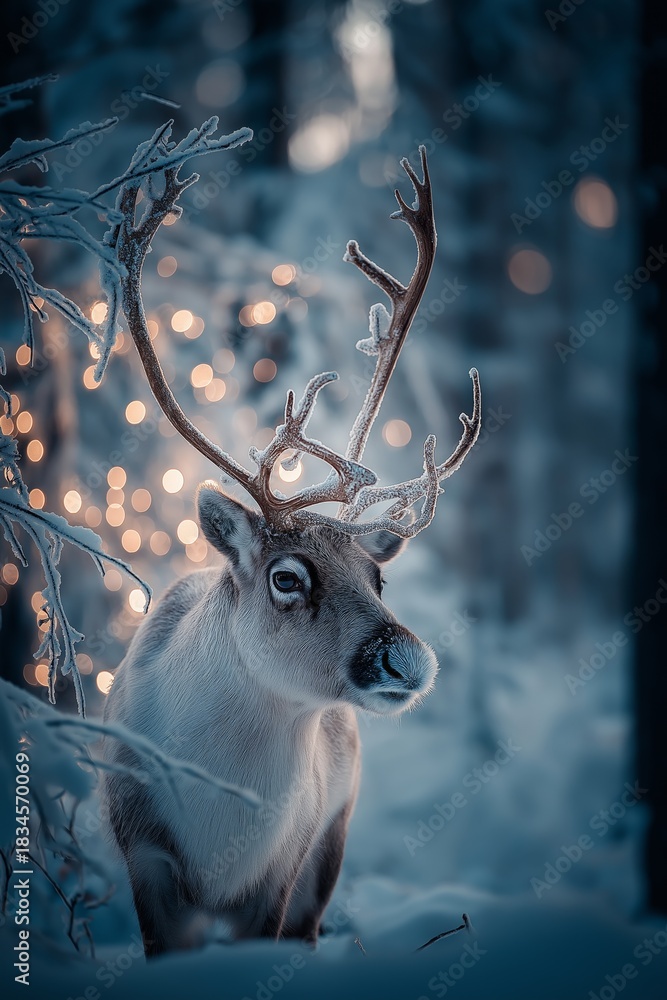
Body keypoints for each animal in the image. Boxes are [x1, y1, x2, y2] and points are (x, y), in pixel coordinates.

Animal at [101, 141, 481, 957]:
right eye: (286, 577)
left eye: (377, 576)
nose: (410, 659)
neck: (222, 824)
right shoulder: (146, 857)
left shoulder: (280, 875)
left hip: (330, 847)